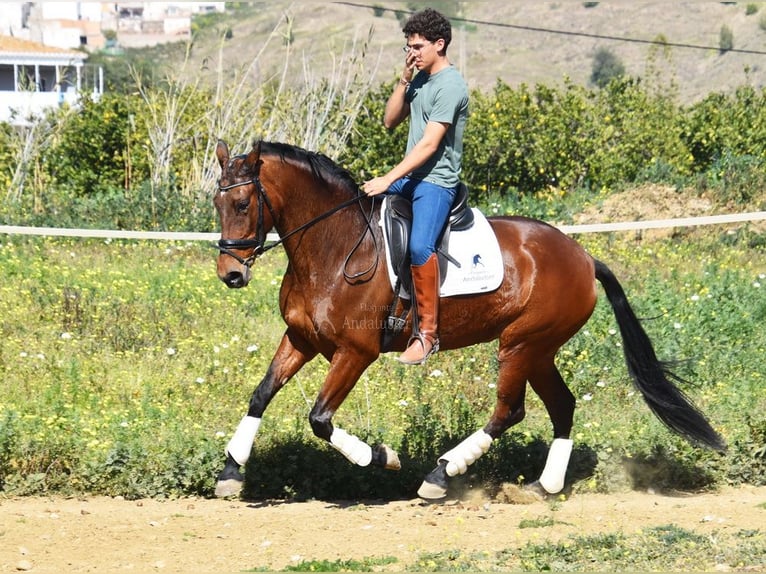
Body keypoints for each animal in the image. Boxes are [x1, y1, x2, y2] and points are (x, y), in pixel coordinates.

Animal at [212, 140, 728, 500]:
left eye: (242, 204)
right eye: (217, 205)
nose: (230, 274)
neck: (333, 248)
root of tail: (583, 256)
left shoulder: (356, 352)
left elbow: (319, 418)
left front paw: (381, 456)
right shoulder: (300, 338)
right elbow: (261, 394)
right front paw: (231, 471)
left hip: (520, 344)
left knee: (509, 411)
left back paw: (441, 475)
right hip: (539, 350)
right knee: (562, 406)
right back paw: (543, 487)